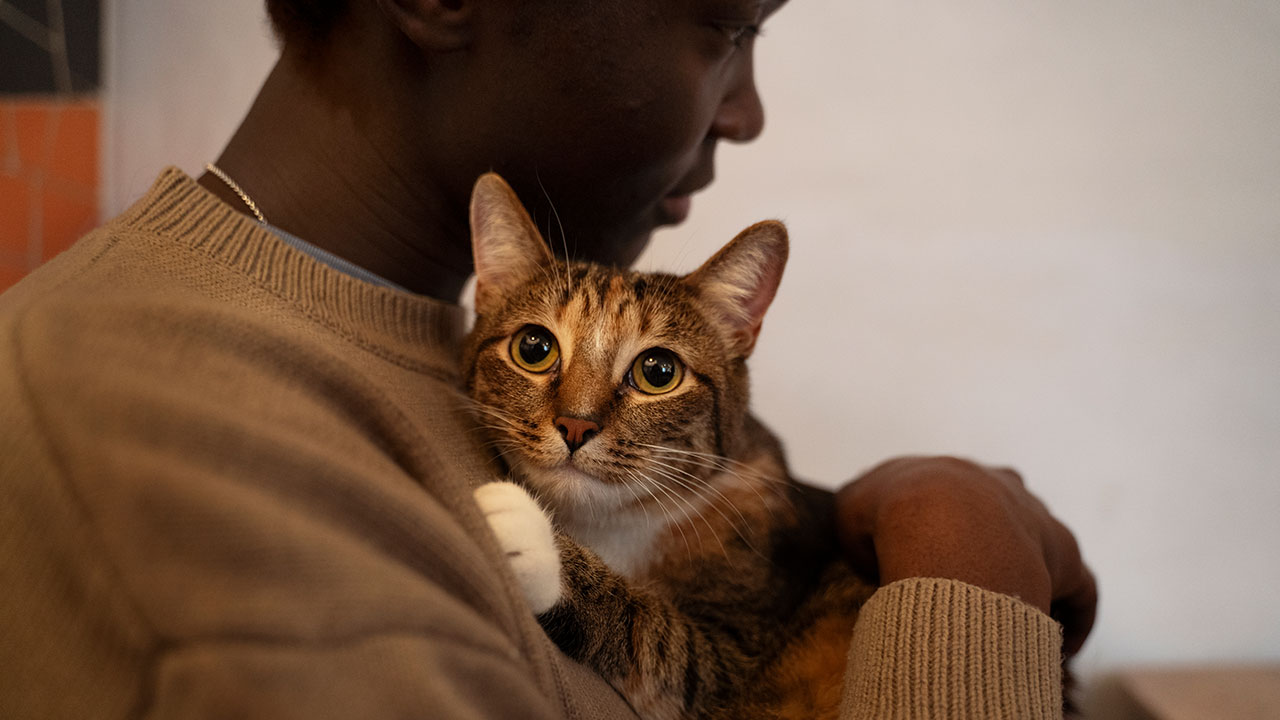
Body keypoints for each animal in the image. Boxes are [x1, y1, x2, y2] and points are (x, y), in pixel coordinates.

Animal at [460, 175, 870, 717]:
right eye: (534, 347)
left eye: (658, 372)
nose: (575, 425)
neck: (610, 526)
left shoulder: (735, 659)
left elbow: (655, 632)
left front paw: (532, 537)